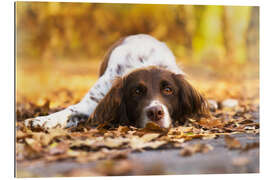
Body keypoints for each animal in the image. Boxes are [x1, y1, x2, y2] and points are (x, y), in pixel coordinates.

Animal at [24, 34, 209, 129]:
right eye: (136, 91)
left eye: (168, 90)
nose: (155, 112)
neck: (144, 61)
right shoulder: (93, 102)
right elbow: (68, 110)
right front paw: (41, 120)